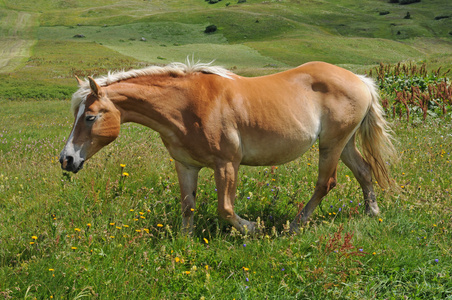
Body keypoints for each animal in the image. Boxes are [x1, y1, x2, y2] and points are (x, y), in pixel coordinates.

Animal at [59, 61, 396, 234]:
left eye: (90, 117)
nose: (67, 159)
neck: (187, 106)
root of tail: (361, 80)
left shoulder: (226, 164)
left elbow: (226, 209)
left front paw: (253, 229)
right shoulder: (186, 165)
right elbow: (188, 205)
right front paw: (185, 241)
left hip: (331, 145)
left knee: (325, 183)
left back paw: (295, 225)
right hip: (345, 143)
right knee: (364, 172)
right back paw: (372, 212)